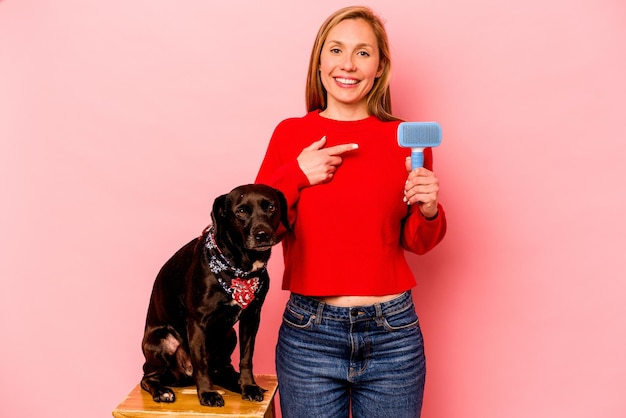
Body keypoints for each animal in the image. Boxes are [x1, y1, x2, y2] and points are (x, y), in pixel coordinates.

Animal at [140, 183, 288, 404]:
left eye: (271, 207)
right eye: (241, 211)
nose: (262, 234)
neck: (239, 268)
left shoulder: (251, 318)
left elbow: (246, 358)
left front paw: (249, 386)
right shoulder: (197, 322)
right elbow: (200, 363)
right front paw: (207, 393)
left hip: (229, 335)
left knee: (221, 369)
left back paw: (235, 382)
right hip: (162, 340)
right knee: (147, 377)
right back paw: (161, 391)